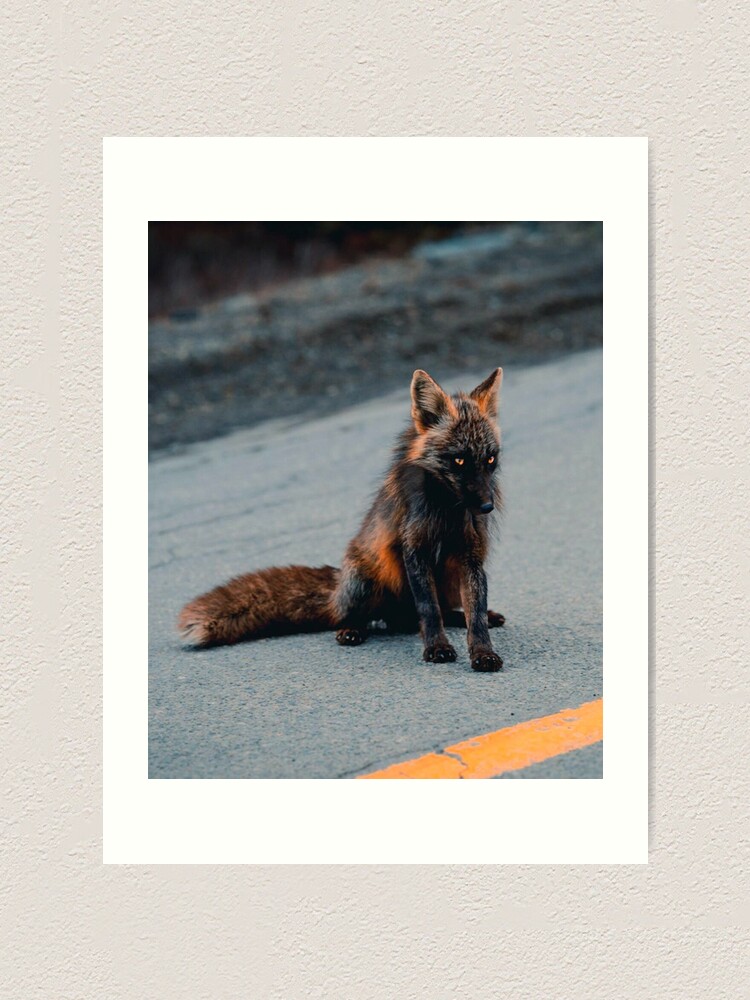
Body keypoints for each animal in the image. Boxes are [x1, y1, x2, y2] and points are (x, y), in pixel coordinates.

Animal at [179, 367, 506, 671]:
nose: (487, 507)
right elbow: (428, 609)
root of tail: (337, 588)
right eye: (459, 460)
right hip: (365, 582)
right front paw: (437, 648)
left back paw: (475, 617)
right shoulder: (415, 550)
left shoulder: (471, 556)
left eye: (489, 459)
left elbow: (475, 614)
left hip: (447, 581)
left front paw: (483, 652)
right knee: (370, 619)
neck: (446, 513)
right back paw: (351, 630)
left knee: (420, 617)